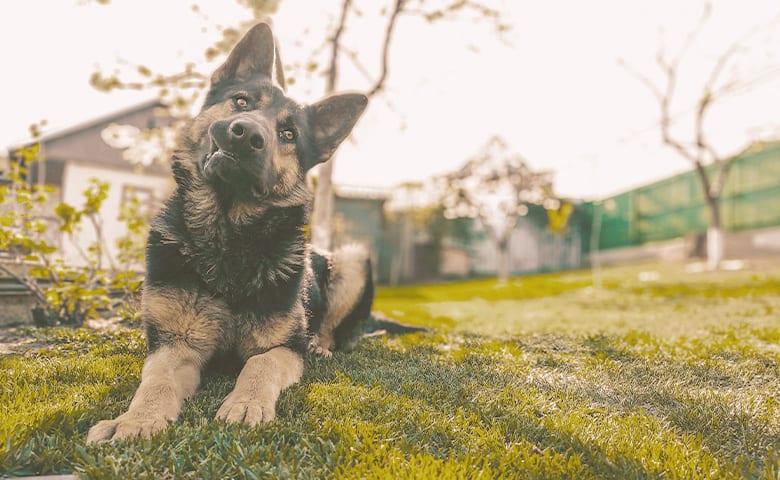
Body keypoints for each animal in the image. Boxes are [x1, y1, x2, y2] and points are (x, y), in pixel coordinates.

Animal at [88, 22, 424, 442]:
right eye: (242, 102)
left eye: (289, 134)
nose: (245, 135)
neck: (228, 241)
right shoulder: (175, 347)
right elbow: (157, 382)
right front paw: (136, 419)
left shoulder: (281, 349)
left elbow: (259, 366)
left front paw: (246, 403)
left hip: (353, 259)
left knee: (333, 330)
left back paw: (320, 345)